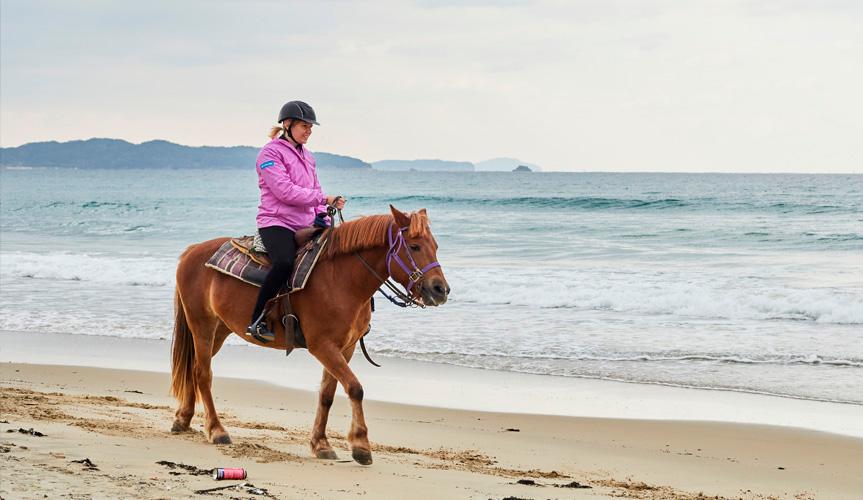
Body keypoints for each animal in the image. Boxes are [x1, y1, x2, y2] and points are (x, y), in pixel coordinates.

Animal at [170, 203, 452, 464]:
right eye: (414, 247)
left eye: (435, 246)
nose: (441, 289)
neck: (342, 279)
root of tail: (192, 251)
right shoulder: (322, 346)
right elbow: (355, 388)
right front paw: (361, 446)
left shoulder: (345, 348)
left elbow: (327, 394)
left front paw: (321, 444)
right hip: (202, 326)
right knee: (202, 373)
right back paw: (217, 430)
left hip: (220, 330)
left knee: (194, 369)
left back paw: (183, 419)